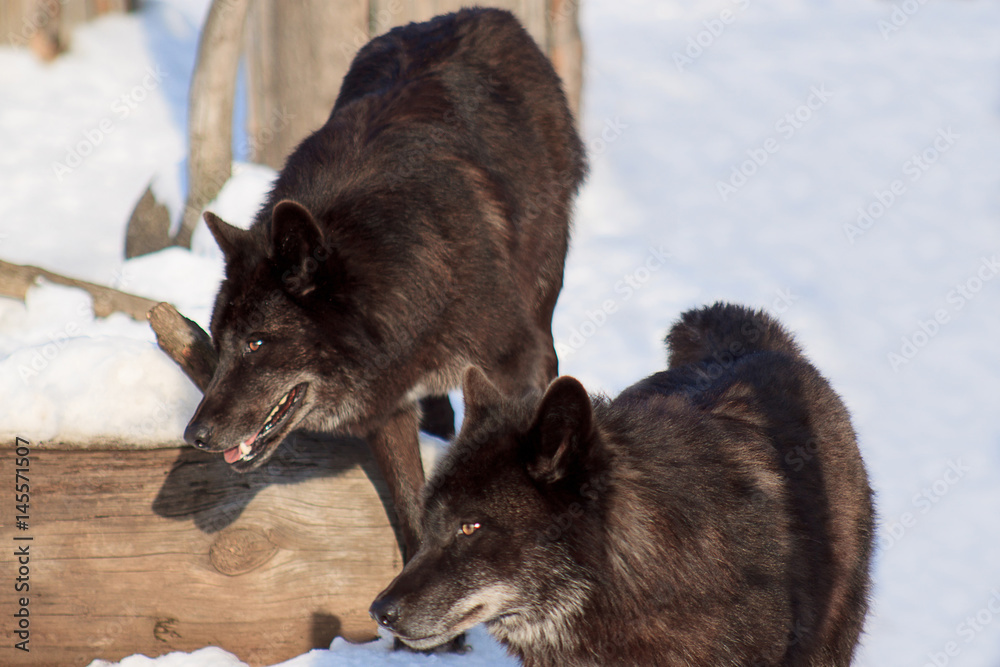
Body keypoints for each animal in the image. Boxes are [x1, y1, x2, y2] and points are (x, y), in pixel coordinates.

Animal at [182, 8, 586, 556]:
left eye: (256, 343)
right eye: (219, 341)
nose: (195, 435)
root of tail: (483, 13)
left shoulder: (520, 363)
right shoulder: (390, 410)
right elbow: (414, 508)